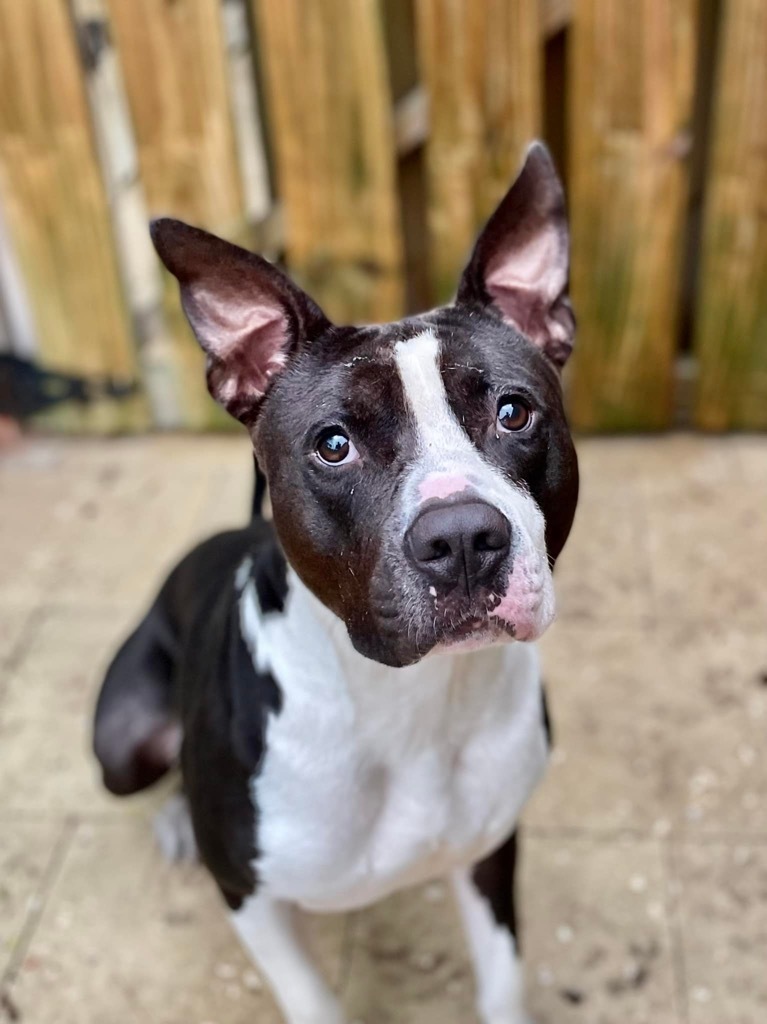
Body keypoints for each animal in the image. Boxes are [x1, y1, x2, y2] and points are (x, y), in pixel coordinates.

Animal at [92, 138, 573, 1024]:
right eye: (333, 444)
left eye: (513, 412)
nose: (461, 539)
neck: (408, 701)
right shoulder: (251, 899)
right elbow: (312, 998)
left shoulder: (491, 853)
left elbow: (500, 984)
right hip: (119, 746)